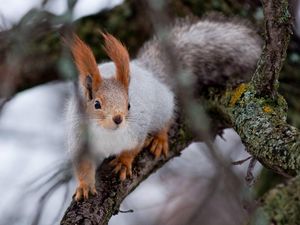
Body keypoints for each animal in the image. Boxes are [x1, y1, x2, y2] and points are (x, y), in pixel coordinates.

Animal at [65, 15, 260, 200]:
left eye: (129, 104)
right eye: (97, 104)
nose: (118, 119)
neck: (107, 133)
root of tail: (146, 70)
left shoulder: (137, 130)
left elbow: (132, 149)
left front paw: (123, 162)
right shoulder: (79, 139)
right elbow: (83, 166)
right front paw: (84, 186)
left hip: (163, 106)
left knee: (166, 119)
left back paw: (159, 139)